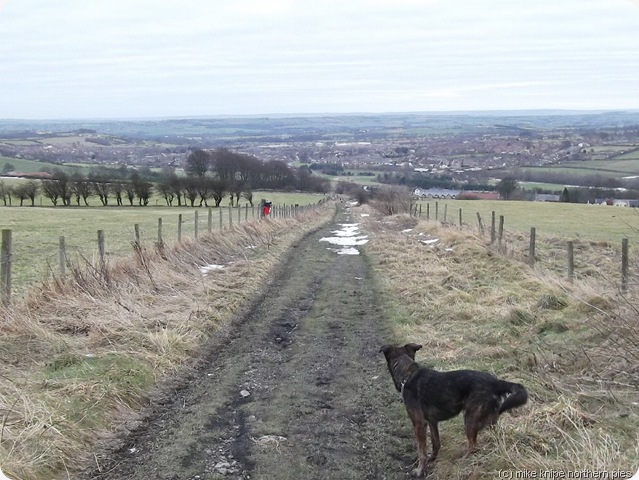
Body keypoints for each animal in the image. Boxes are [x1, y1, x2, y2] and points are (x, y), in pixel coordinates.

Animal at [382, 344, 528, 474]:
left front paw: (419, 470)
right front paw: (432, 459)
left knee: (473, 446)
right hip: (490, 420)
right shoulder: (432, 422)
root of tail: (496, 382)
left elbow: (421, 451)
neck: (407, 375)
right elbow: (436, 443)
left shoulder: (419, 424)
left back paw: (463, 461)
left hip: (470, 420)